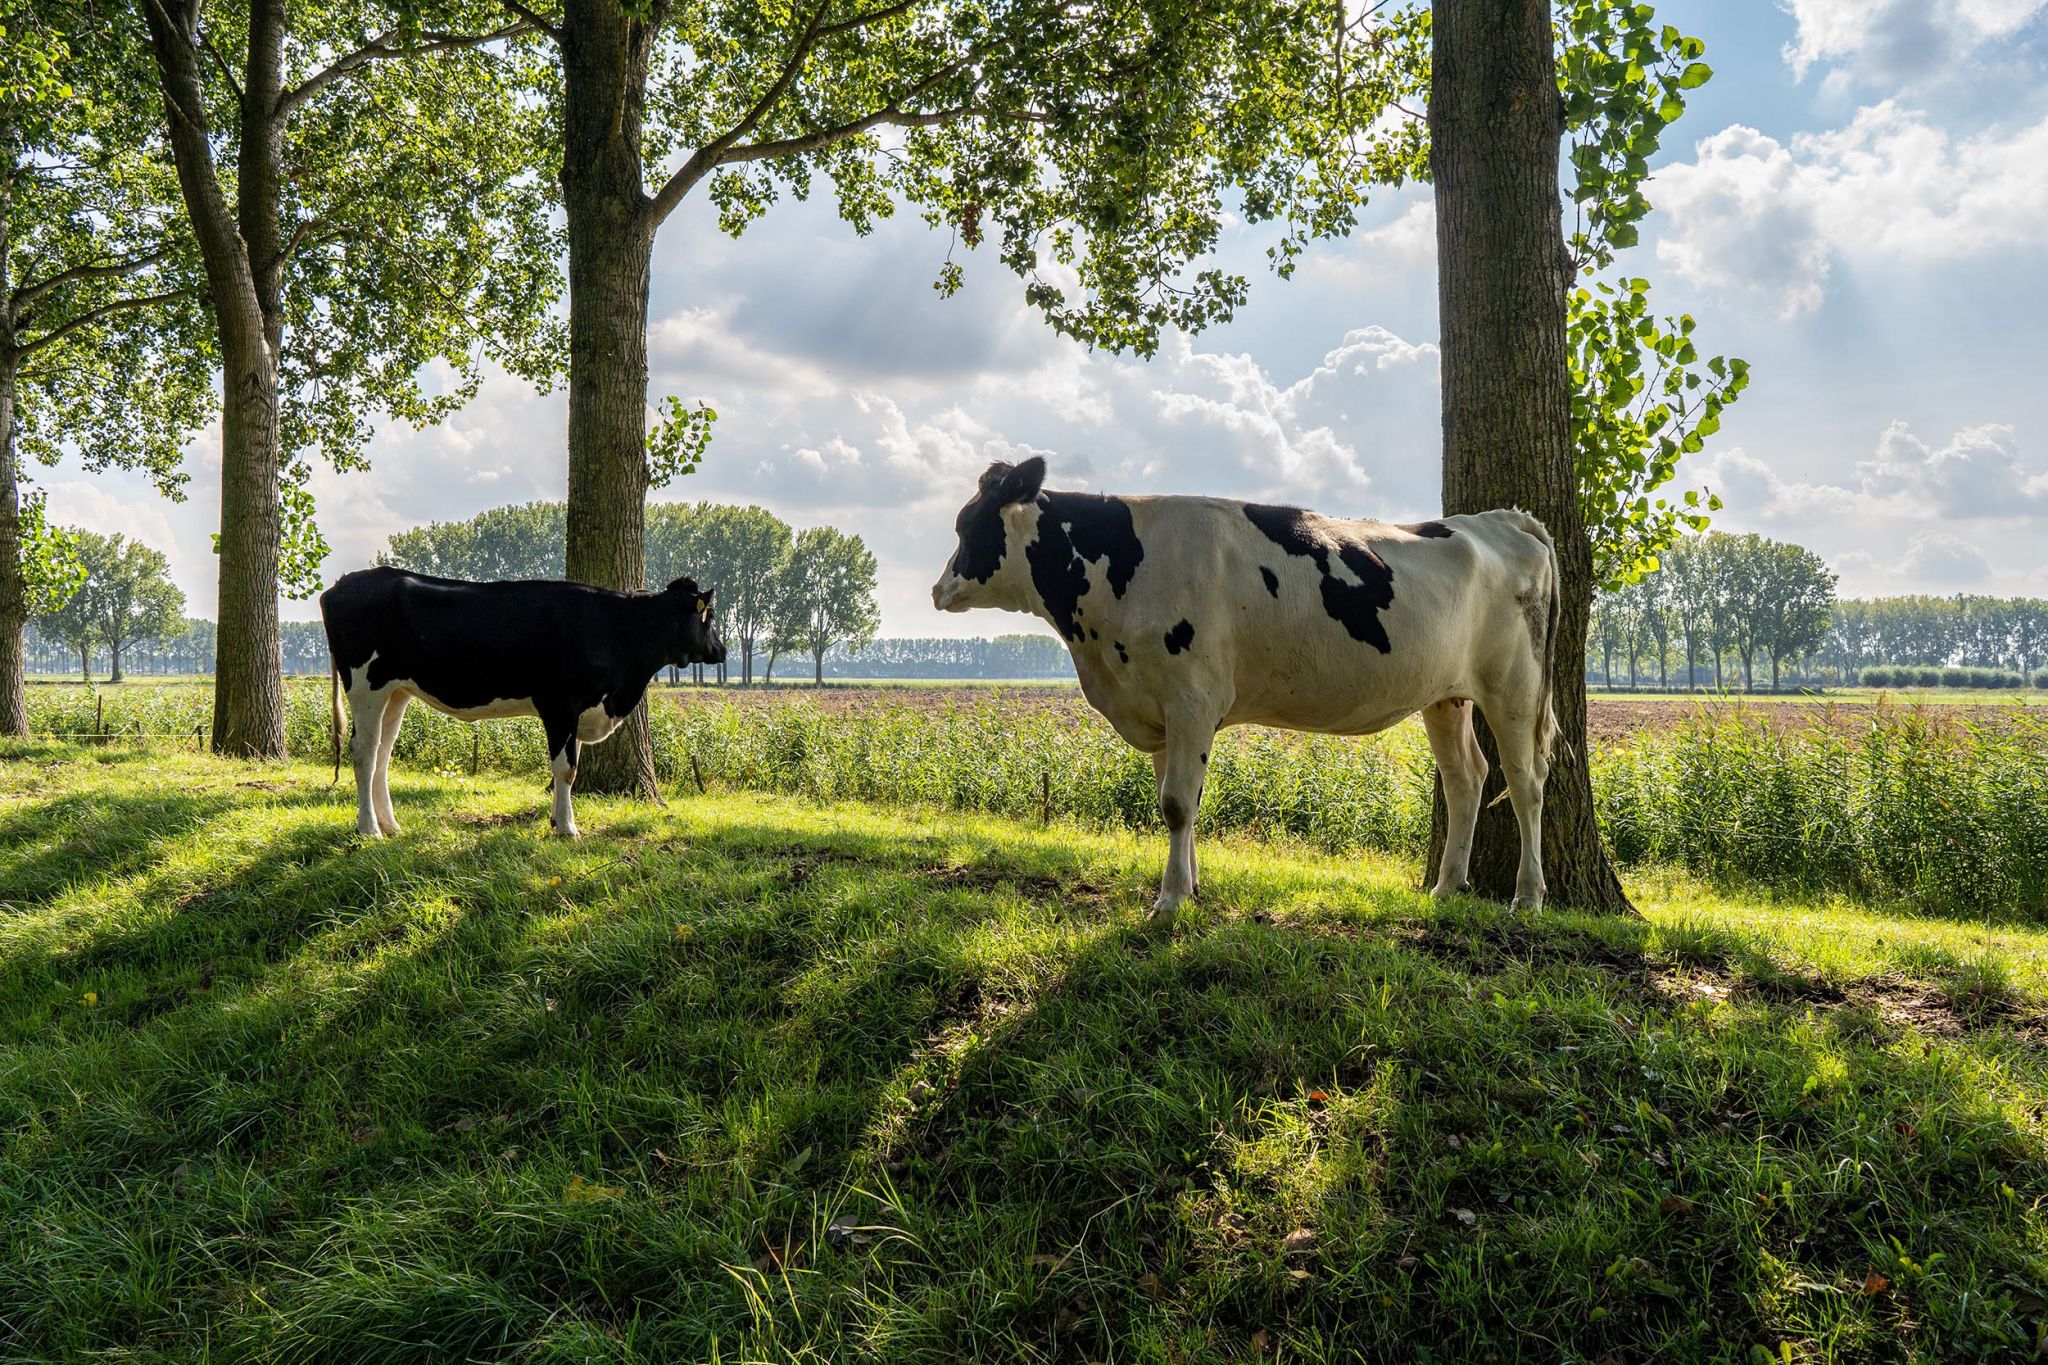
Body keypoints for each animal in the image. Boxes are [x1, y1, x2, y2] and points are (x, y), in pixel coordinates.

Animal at [319, 568, 729, 843]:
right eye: (708, 616)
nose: (722, 651)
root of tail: (342, 584)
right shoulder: (560, 705)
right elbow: (566, 769)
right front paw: (567, 828)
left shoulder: (580, 710)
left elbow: (569, 766)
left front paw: (557, 821)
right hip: (366, 687)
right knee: (364, 753)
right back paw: (369, 829)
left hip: (396, 692)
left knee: (382, 754)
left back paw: (390, 824)